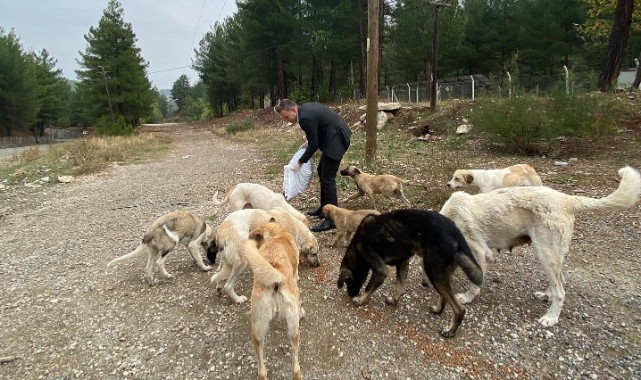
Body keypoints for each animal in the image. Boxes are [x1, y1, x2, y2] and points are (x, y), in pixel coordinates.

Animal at [338, 209, 482, 336]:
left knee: (459, 309)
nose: (351, 295)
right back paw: (438, 310)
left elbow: (369, 287)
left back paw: (450, 331)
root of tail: (455, 231)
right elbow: (399, 286)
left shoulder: (381, 269)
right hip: (442, 272)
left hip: (433, 271)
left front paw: (360, 300)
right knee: (445, 297)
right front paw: (393, 300)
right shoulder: (403, 262)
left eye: (348, 282)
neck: (356, 248)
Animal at [440, 166, 640, 326]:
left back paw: (551, 318)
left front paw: (467, 297)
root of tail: (566, 199)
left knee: (560, 291)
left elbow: (474, 281)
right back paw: (547, 296)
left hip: (546, 254)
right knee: (561, 282)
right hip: (554, 255)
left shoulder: (479, 252)